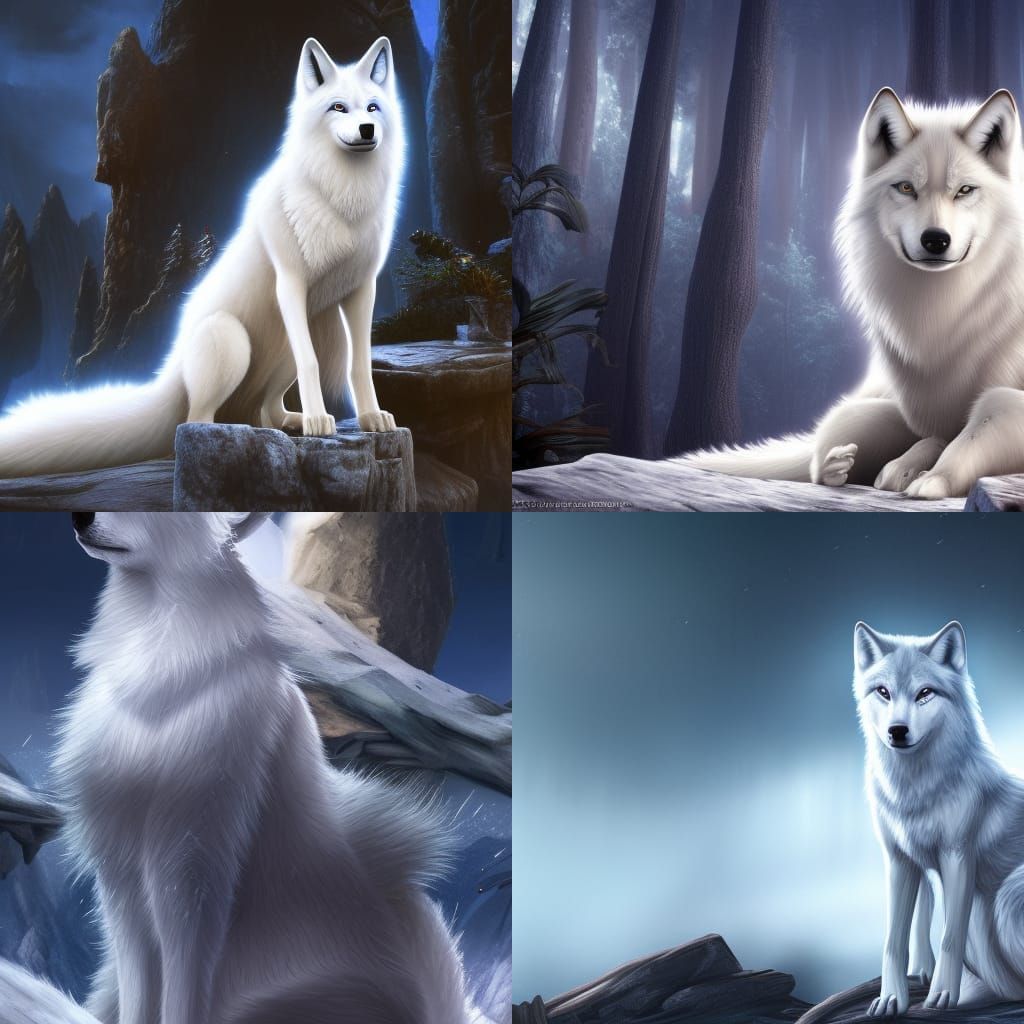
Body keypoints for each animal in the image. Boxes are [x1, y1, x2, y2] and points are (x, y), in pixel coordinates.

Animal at [0, 36, 401, 479]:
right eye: (338, 107)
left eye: (372, 107)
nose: (367, 130)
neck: (341, 200)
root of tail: (171, 371)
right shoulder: (291, 283)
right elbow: (312, 365)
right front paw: (318, 421)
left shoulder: (362, 289)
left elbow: (360, 364)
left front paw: (372, 418)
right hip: (232, 337)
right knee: (195, 421)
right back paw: (238, 432)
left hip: (300, 337)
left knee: (266, 411)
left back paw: (286, 422)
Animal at [0, 512, 488, 1024]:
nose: (79, 516)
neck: (157, 692)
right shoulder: (121, 871)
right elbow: (139, 985)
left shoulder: (193, 865)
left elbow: (183, 987)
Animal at [675, 87, 1024, 499]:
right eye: (906, 188)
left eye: (966, 190)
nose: (936, 240)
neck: (942, 312)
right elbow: (929, 434)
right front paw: (897, 468)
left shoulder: (1002, 399)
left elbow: (977, 427)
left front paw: (933, 478)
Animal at [854, 620, 1024, 1017]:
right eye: (883, 692)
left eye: (925, 693)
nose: (897, 731)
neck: (914, 792)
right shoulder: (901, 860)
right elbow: (896, 938)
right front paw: (892, 998)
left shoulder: (957, 856)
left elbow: (949, 936)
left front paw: (944, 994)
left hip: (1007, 897)